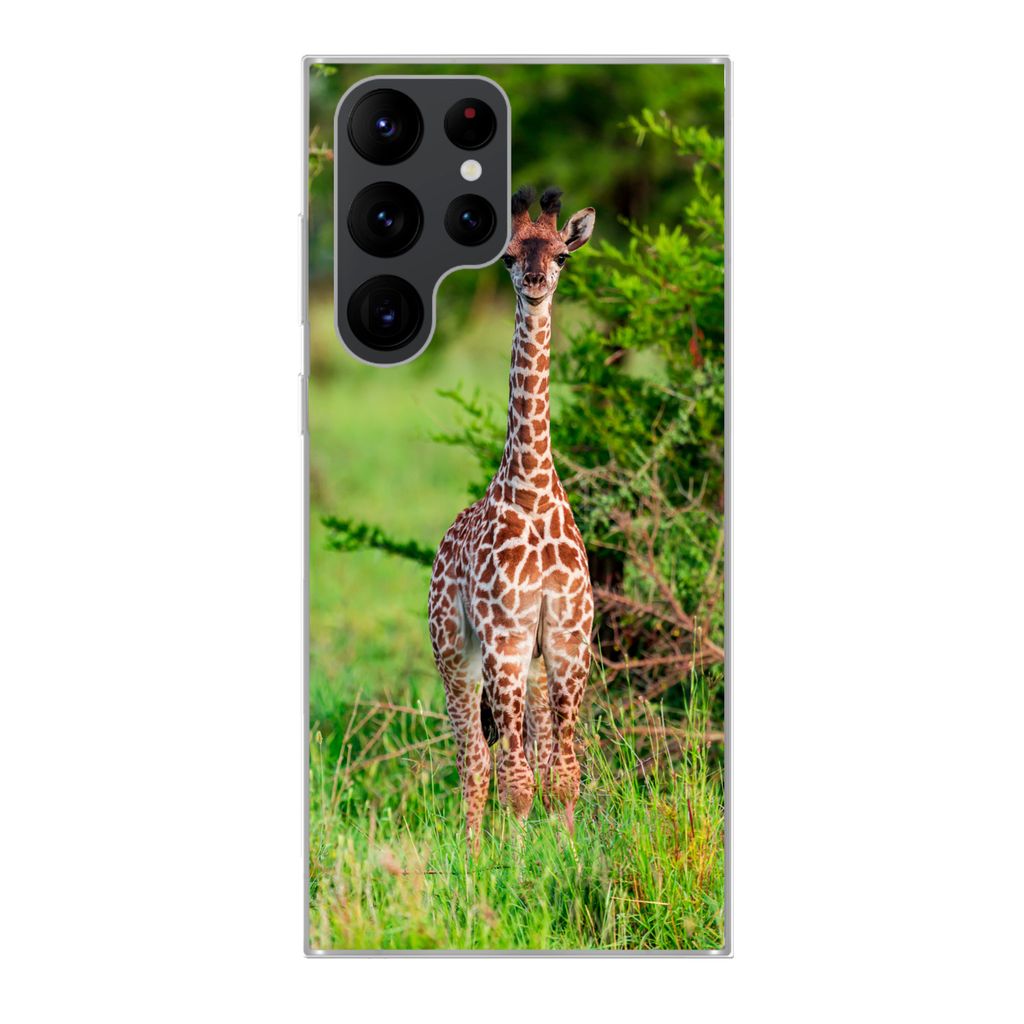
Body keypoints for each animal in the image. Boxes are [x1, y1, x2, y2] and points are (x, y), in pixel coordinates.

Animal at [428, 186, 596, 848]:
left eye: (562, 254)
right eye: (506, 256)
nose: (535, 280)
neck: (532, 488)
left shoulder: (569, 639)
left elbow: (562, 773)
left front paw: (570, 855)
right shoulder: (503, 638)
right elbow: (517, 782)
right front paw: (519, 865)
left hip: (533, 664)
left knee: (533, 753)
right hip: (455, 652)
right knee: (475, 761)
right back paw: (474, 858)